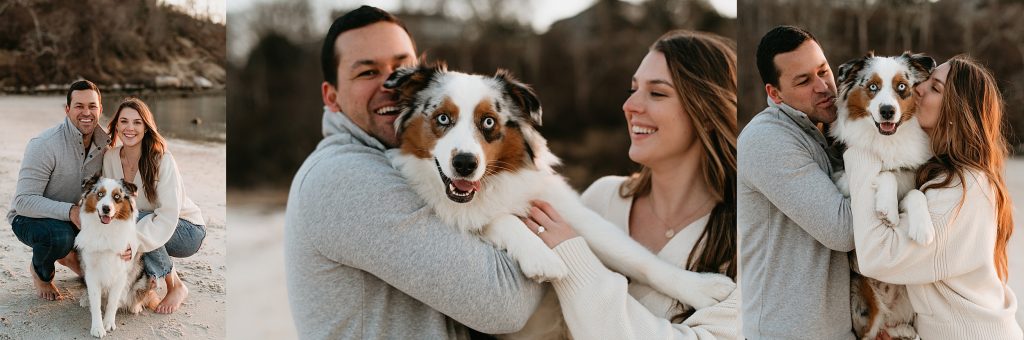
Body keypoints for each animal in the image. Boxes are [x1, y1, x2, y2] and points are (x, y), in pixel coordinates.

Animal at [75, 175, 155, 337]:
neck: (105, 231)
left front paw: (108, 323)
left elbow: (112, 302)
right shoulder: (91, 273)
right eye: (100, 194)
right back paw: (85, 299)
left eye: (117, 197)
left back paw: (135, 306)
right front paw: (97, 327)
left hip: (145, 277)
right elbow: (95, 302)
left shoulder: (121, 273)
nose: (106, 208)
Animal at [831, 51, 937, 337]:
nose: (887, 110)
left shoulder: (913, 174)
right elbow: (885, 173)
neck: (888, 140)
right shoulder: (842, 181)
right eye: (872, 87)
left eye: (901, 86)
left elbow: (915, 193)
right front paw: (887, 209)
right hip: (864, 302)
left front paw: (923, 228)